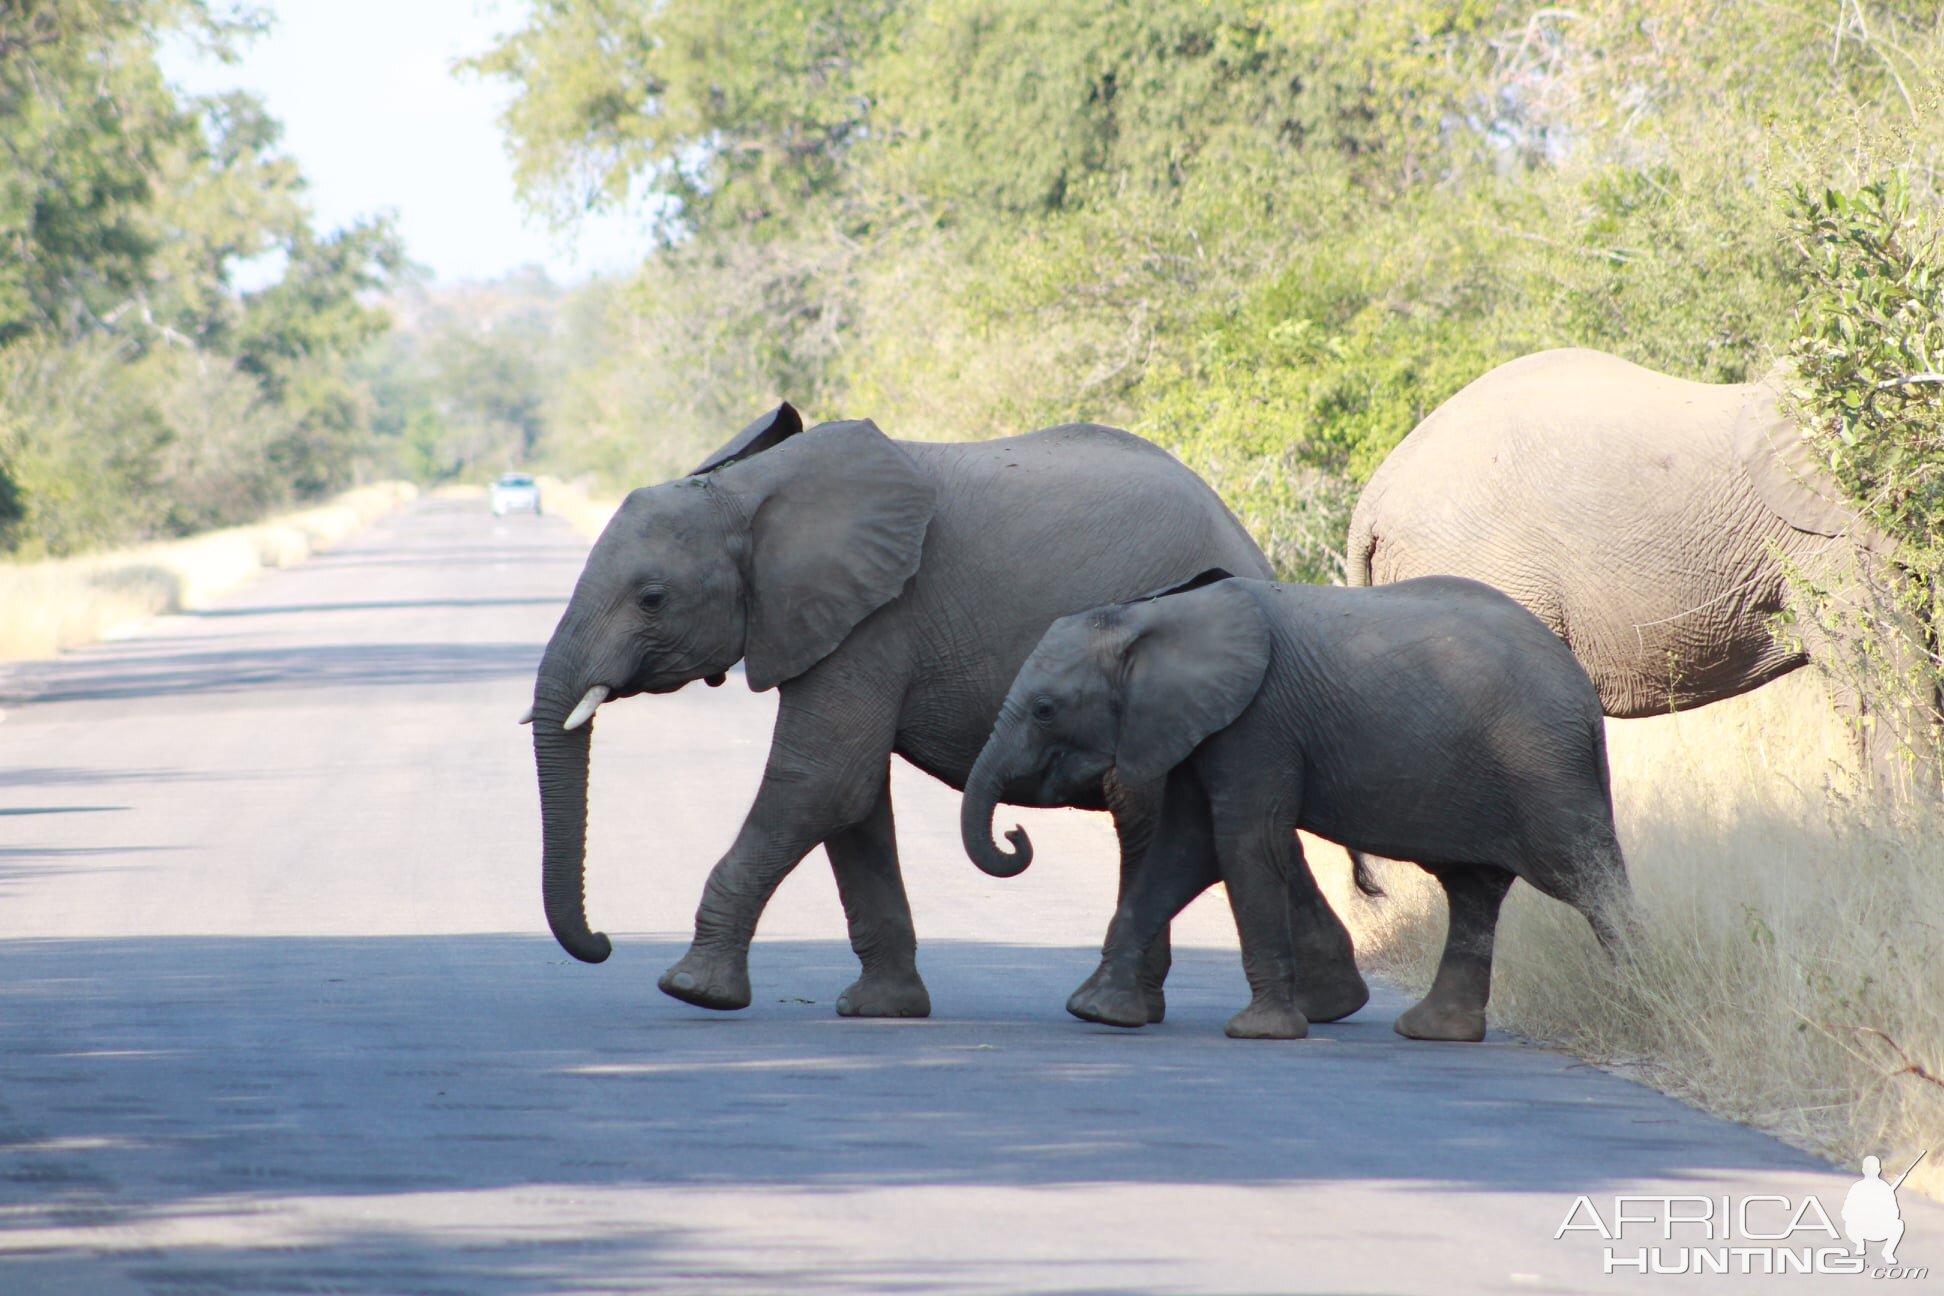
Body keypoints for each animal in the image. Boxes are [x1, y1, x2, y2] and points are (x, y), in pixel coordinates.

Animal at [517, 406, 1376, 1025]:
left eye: (651, 598)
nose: (603, 943)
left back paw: (1116, 1008)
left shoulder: (877, 616)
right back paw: (1332, 1005)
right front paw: (882, 1010)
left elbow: (821, 780)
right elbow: (853, 801)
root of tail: (1254, 549)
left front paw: (691, 990)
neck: (752, 491)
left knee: (1151, 813)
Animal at [964, 571, 1632, 1049]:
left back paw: (1635, 997)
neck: (1151, 612)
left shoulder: (1258, 722)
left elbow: (1243, 842)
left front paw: (1259, 1033)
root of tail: (1585, 693)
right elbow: (1185, 850)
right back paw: (1435, 1032)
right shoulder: (1199, 725)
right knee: (1472, 891)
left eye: (1045, 709)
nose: (1016, 834)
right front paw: (1097, 1011)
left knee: (1587, 877)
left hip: (1543, 762)